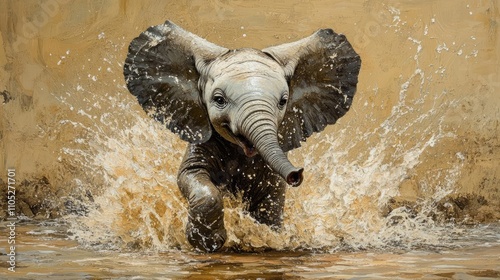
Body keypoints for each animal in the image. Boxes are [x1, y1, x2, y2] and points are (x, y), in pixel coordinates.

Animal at [124, 20, 360, 252]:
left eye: (283, 101)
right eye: (219, 100)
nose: (296, 174)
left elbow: (271, 200)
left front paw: (265, 239)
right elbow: (191, 176)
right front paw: (209, 243)